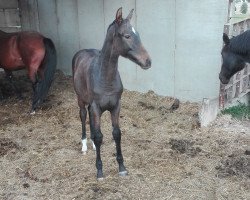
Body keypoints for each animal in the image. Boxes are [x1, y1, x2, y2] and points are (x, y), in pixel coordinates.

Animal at [71, 7, 151, 180]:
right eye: (127, 35)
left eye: (137, 34)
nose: (148, 61)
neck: (105, 77)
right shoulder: (96, 106)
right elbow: (100, 135)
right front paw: (99, 171)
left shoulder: (115, 106)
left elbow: (116, 133)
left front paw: (122, 167)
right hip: (81, 99)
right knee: (83, 116)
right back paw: (84, 145)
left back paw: (93, 145)